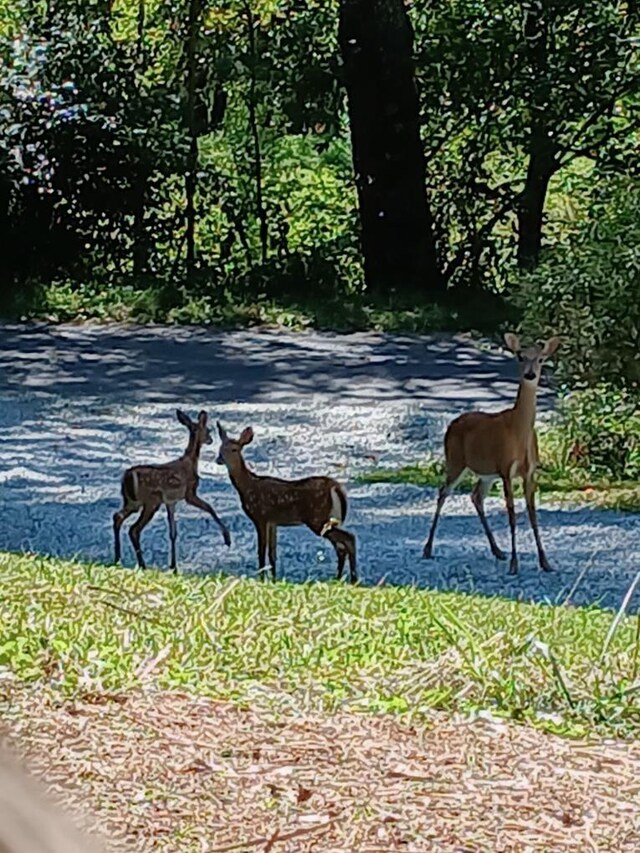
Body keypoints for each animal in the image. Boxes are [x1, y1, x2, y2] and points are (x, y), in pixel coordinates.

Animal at [114, 408, 231, 572]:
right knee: (134, 529)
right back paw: (142, 565)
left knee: (117, 517)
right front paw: (227, 539)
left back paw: (117, 558)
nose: (210, 440)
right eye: (208, 430)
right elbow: (210, 508)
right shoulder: (189, 493)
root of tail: (128, 476)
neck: (191, 462)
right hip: (151, 502)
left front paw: (174, 566)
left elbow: (173, 532)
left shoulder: (171, 502)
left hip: (132, 502)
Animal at [214, 422, 356, 584]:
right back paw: (339, 578)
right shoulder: (273, 522)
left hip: (317, 518)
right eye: (220, 448)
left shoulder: (261, 516)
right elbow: (272, 553)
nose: (219, 459)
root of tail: (336, 487)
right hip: (329, 519)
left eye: (234, 449)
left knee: (349, 538)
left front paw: (261, 579)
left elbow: (261, 550)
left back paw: (353, 579)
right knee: (341, 546)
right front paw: (273, 579)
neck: (248, 486)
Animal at [422, 330, 556, 576]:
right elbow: (512, 515)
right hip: (455, 461)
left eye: (541, 359)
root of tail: (452, 424)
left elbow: (533, 514)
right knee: (443, 492)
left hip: (485, 474)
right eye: (520, 356)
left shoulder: (529, 471)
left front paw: (545, 562)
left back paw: (497, 550)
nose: (530, 374)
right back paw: (427, 549)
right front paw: (514, 565)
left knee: (476, 496)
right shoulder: (505, 468)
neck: (518, 433)